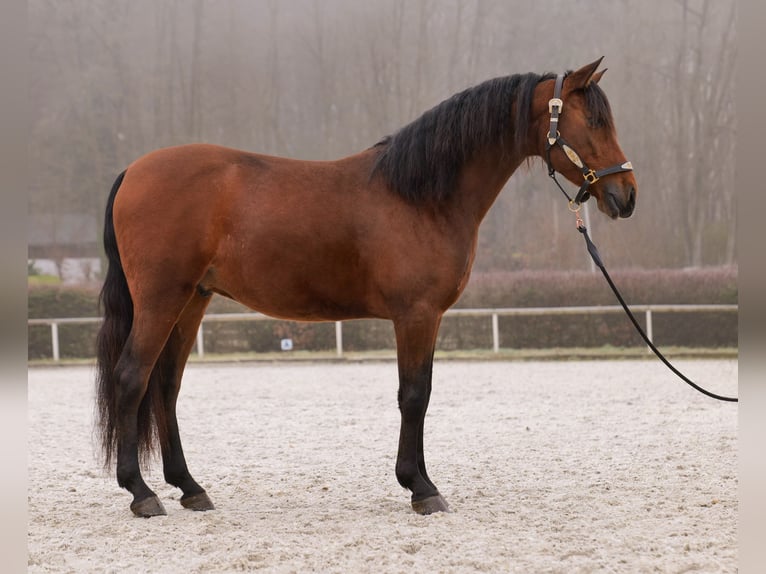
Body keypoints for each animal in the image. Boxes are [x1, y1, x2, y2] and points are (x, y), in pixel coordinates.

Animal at [94, 59, 636, 520]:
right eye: (592, 123)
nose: (625, 196)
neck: (422, 195)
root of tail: (133, 171)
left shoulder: (428, 318)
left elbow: (421, 391)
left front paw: (419, 481)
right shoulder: (416, 314)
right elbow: (414, 395)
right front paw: (421, 488)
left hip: (192, 301)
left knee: (166, 386)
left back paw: (189, 487)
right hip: (162, 300)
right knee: (132, 378)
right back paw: (141, 493)